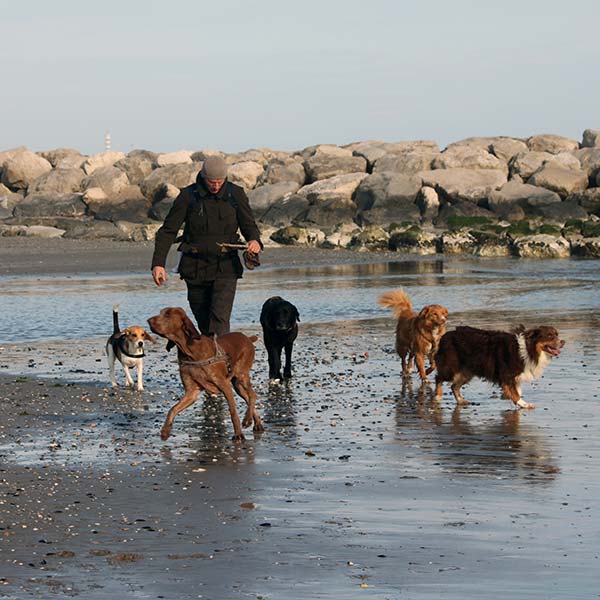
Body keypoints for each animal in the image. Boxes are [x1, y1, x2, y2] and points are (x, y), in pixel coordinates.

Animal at [146, 310, 264, 440]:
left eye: (167, 314)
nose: (148, 321)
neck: (189, 352)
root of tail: (248, 338)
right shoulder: (191, 392)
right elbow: (173, 409)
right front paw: (165, 431)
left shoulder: (224, 384)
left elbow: (233, 412)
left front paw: (238, 434)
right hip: (237, 385)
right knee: (248, 397)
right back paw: (257, 423)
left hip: (241, 375)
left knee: (252, 395)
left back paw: (247, 420)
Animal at [434, 326, 564, 410]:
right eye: (549, 336)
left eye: (557, 334)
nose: (563, 342)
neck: (528, 349)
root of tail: (444, 336)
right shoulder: (507, 375)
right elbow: (516, 394)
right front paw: (524, 404)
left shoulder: (514, 377)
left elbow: (517, 391)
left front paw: (507, 396)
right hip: (450, 367)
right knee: (439, 378)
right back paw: (438, 395)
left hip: (467, 371)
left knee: (454, 386)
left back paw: (461, 400)